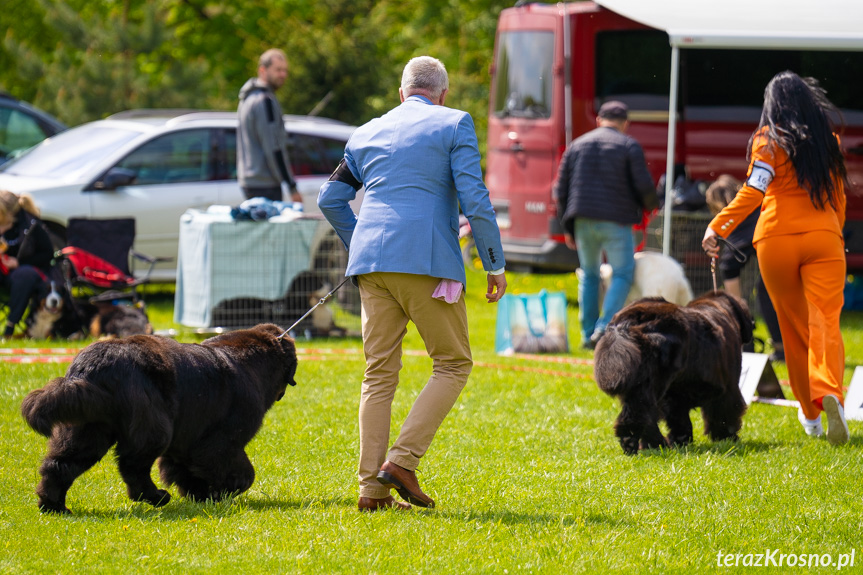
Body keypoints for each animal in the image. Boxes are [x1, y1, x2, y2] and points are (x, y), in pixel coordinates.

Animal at [21, 322, 296, 516]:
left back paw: (54, 506)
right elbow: (241, 471)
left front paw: (199, 494)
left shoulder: (186, 443)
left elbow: (185, 469)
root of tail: (94, 365)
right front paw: (222, 491)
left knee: (60, 464)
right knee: (132, 465)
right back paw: (156, 496)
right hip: (153, 427)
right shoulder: (223, 441)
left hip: (86, 429)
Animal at [592, 294, 748, 456]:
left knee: (645, 414)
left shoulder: (675, 395)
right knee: (641, 414)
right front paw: (726, 438)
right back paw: (642, 443)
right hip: (653, 382)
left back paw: (653, 444)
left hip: (638, 384)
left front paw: (681, 441)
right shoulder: (729, 387)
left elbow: (679, 420)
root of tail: (627, 320)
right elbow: (725, 414)